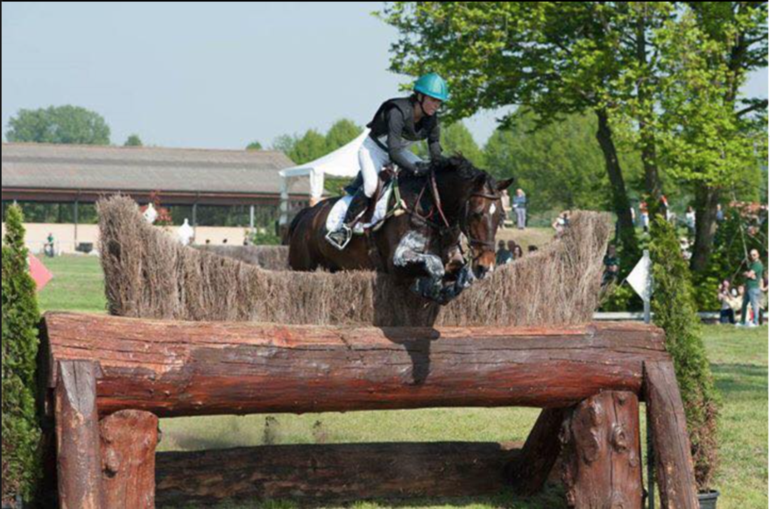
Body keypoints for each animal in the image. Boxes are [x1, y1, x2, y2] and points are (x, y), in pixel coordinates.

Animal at [282, 156, 510, 302]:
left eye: (500, 216)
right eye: (477, 213)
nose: (485, 267)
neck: (431, 208)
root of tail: (307, 214)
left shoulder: (453, 261)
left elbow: (464, 277)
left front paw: (448, 289)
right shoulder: (396, 262)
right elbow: (435, 265)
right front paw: (429, 289)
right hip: (302, 265)